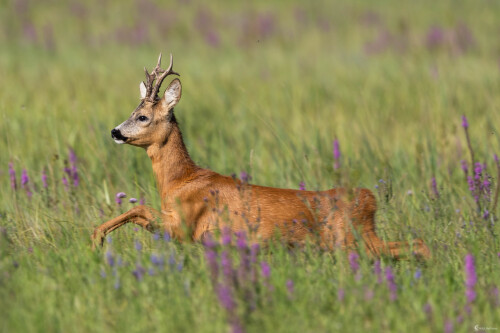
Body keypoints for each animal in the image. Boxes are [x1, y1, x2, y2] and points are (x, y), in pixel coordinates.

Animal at [92, 53, 432, 260]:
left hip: (352, 240)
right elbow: (139, 213)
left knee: (413, 244)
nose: (114, 131)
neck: (181, 181)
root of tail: (369, 198)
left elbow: (140, 209)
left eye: (143, 117)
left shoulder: (186, 226)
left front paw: (97, 238)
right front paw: (98, 237)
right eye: (131, 112)